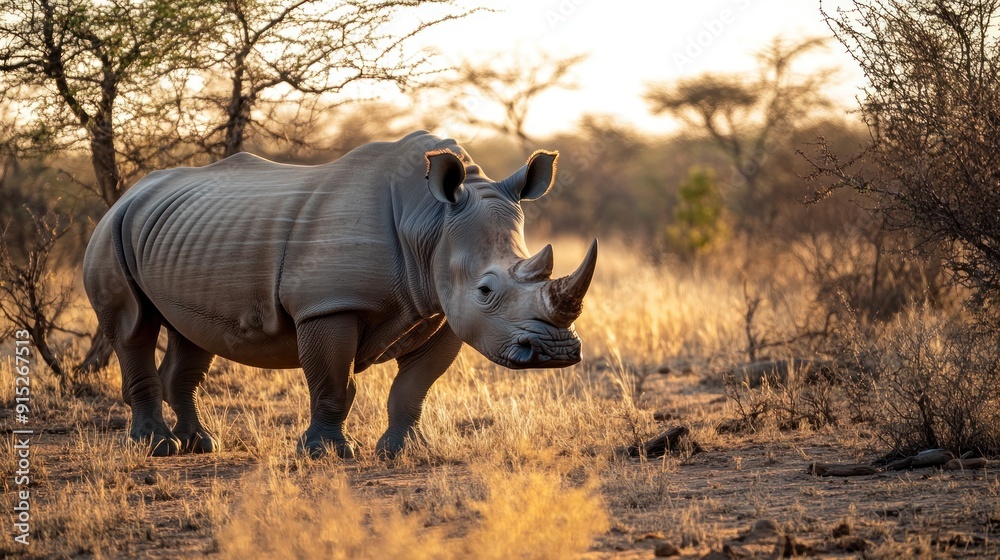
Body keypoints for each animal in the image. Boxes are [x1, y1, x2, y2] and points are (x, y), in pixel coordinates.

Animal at [83, 130, 598, 459]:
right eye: (486, 290)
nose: (555, 353)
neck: (431, 224)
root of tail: (130, 192)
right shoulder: (327, 307)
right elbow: (332, 382)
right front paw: (325, 453)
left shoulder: (443, 312)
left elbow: (413, 387)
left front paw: (403, 451)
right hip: (111, 230)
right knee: (133, 328)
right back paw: (157, 448)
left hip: (181, 235)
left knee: (191, 335)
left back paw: (200, 445)